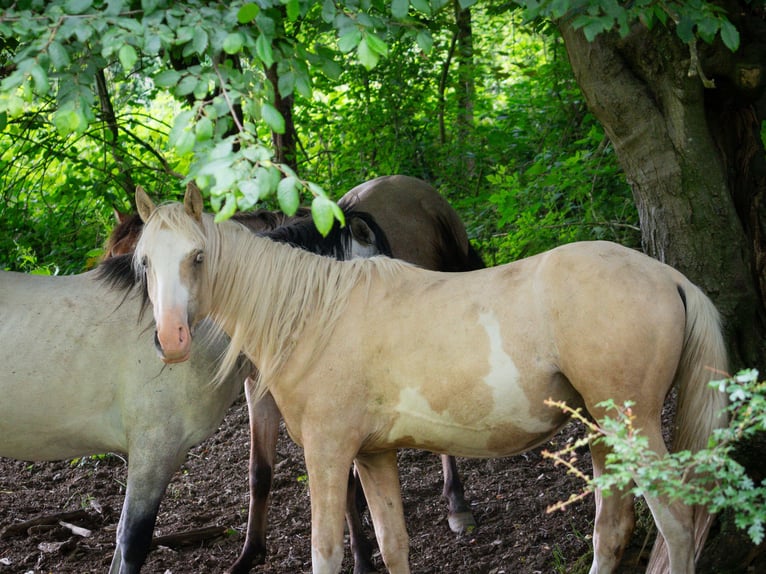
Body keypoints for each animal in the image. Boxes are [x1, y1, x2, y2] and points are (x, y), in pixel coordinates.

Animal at [132, 186, 732, 574]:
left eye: (198, 256)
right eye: (144, 263)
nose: (171, 339)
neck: (315, 313)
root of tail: (670, 277)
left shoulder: (328, 454)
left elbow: (327, 554)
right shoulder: (372, 456)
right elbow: (392, 545)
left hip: (634, 430)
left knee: (677, 528)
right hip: (602, 432)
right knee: (612, 531)